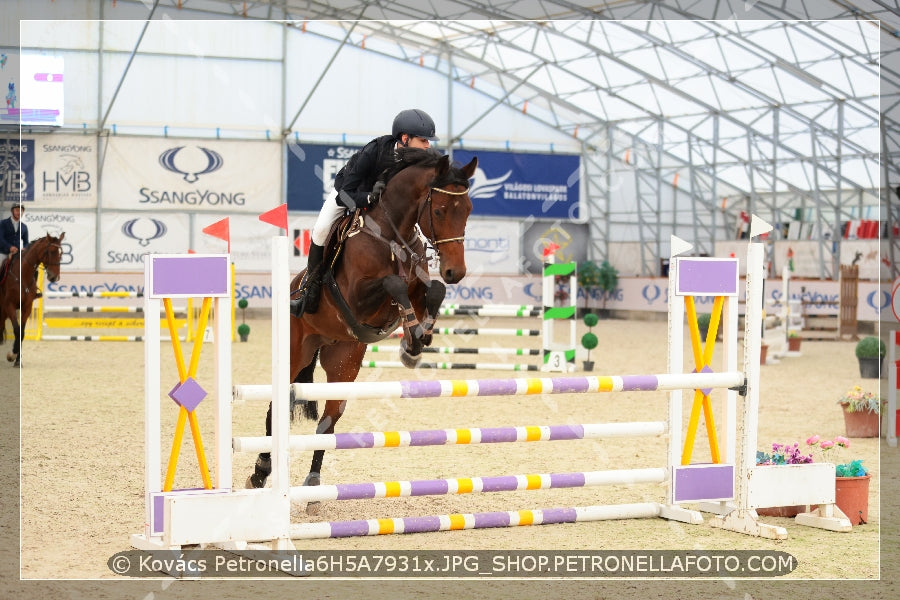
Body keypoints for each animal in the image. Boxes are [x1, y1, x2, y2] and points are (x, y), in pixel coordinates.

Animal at [0, 233, 65, 366]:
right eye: (51, 251)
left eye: (61, 253)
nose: (55, 277)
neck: (22, 275)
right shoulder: (9, 305)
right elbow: (16, 330)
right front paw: (12, 355)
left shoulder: (27, 307)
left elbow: (22, 332)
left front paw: (17, 359)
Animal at [246, 146, 478, 510]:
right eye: (439, 210)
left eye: (467, 210)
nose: (456, 271)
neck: (393, 233)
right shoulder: (358, 296)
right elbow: (394, 283)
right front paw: (413, 336)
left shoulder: (416, 286)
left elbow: (434, 291)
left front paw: (415, 343)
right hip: (295, 351)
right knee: (275, 408)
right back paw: (260, 472)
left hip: (344, 359)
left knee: (328, 421)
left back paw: (313, 485)